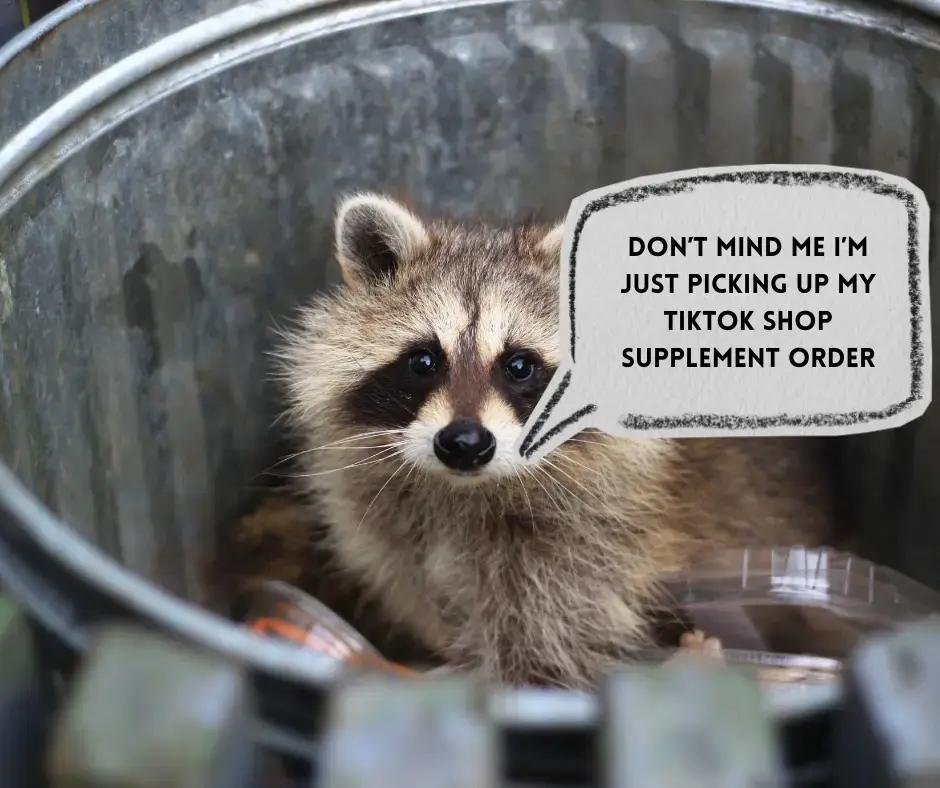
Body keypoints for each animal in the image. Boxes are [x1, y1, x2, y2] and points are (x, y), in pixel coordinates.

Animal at [274, 193, 841, 689]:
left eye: (520, 366)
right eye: (423, 361)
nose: (464, 442)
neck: (466, 491)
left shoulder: (591, 545)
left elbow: (545, 646)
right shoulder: (390, 528)